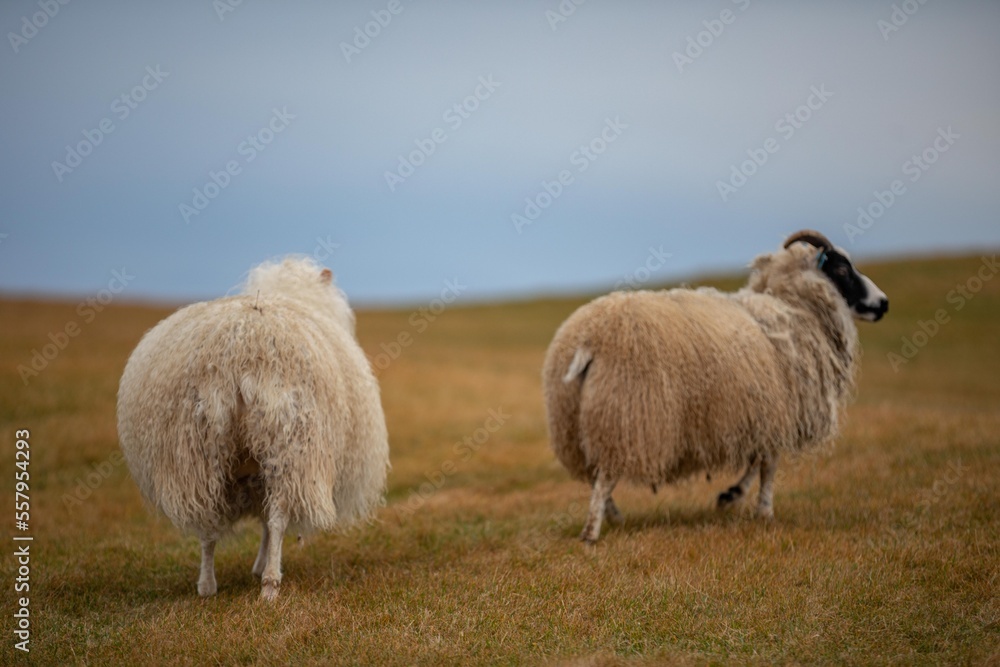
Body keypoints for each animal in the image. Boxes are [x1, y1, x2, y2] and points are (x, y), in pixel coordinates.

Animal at [117, 256, 390, 600]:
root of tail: (240, 351)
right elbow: (267, 524)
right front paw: (262, 566)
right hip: (288, 444)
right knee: (277, 517)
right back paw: (270, 584)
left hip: (197, 453)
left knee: (207, 525)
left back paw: (207, 585)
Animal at [544, 230, 888, 544]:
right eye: (842, 269)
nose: (883, 303)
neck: (792, 309)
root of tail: (588, 339)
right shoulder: (779, 410)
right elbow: (768, 465)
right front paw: (763, 511)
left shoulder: (759, 415)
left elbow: (756, 460)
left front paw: (732, 495)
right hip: (624, 417)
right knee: (604, 478)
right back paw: (592, 531)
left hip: (577, 421)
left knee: (595, 476)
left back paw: (613, 516)